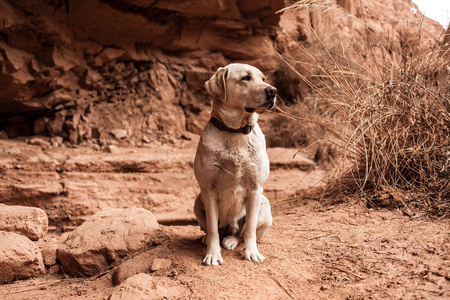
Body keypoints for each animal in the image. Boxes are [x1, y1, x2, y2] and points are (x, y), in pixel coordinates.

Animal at [194, 63, 278, 264]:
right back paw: (208, 239)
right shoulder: (208, 191)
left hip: (265, 206)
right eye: (246, 77)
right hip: (197, 201)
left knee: (240, 232)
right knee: (213, 230)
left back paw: (231, 240)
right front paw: (212, 254)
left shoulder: (255, 189)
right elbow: (213, 230)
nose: (273, 91)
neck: (236, 131)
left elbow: (249, 230)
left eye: (263, 79)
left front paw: (252, 252)